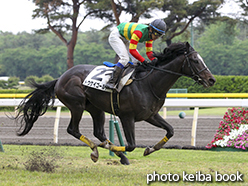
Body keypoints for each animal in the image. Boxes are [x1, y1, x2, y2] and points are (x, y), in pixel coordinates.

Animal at [14, 41, 215, 164]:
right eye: (195, 60)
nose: (211, 80)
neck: (149, 83)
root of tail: (61, 78)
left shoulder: (150, 115)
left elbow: (171, 130)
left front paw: (150, 149)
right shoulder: (127, 117)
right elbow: (132, 145)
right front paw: (120, 149)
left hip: (95, 108)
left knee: (99, 132)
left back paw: (116, 154)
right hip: (77, 104)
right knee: (74, 130)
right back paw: (98, 150)